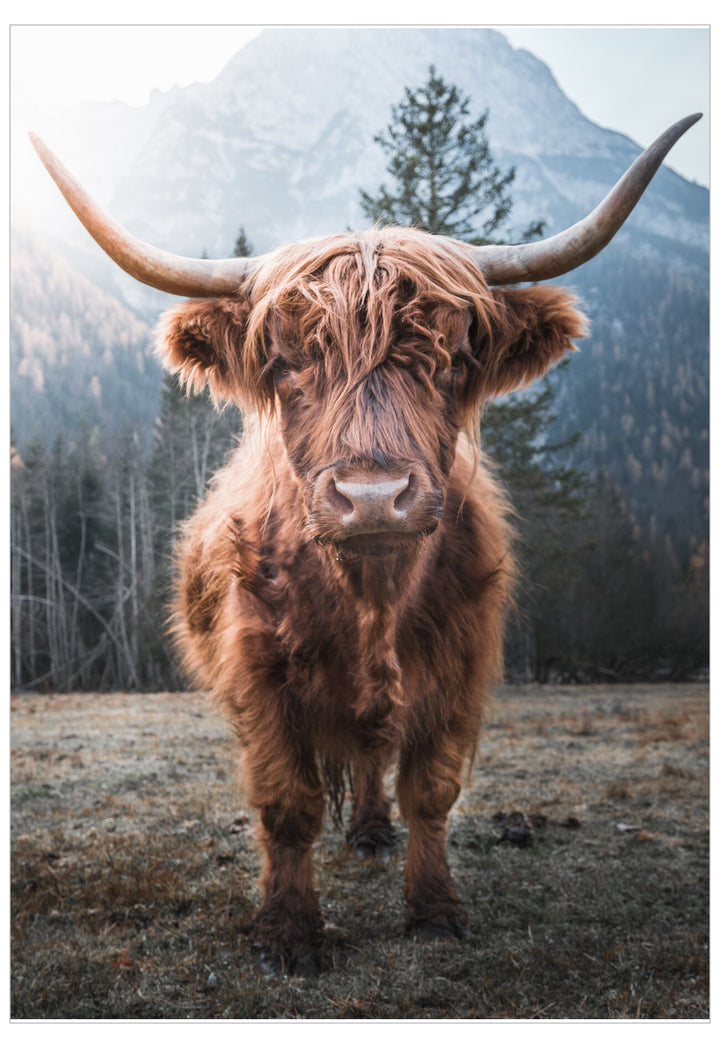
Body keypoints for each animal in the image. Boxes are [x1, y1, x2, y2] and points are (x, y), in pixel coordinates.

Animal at [31, 114, 699, 976]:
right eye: (286, 361)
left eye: (453, 358)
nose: (374, 498)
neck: (371, 597)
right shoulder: (260, 675)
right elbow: (287, 803)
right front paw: (287, 932)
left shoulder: (459, 666)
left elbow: (431, 791)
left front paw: (436, 910)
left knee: (373, 756)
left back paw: (375, 833)